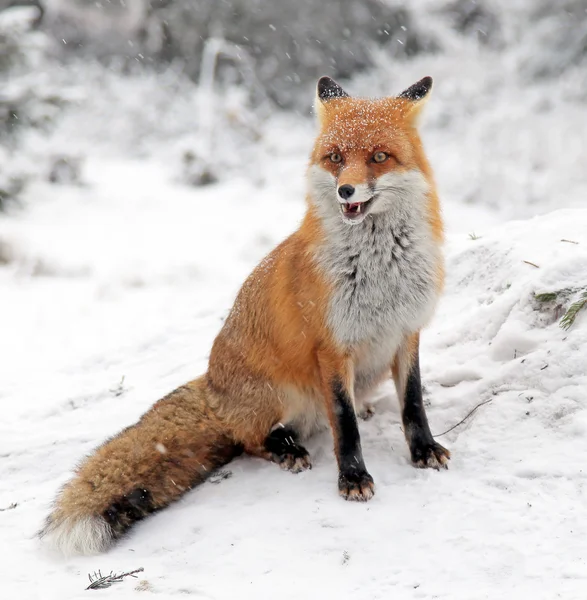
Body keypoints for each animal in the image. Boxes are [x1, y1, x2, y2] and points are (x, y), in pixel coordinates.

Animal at [40, 76, 450, 556]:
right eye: (335, 158)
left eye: (379, 157)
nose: (345, 191)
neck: (381, 272)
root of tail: (211, 387)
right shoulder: (331, 348)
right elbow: (345, 425)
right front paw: (353, 478)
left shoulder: (407, 331)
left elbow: (413, 404)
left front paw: (424, 450)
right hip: (281, 394)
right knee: (250, 440)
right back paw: (285, 448)